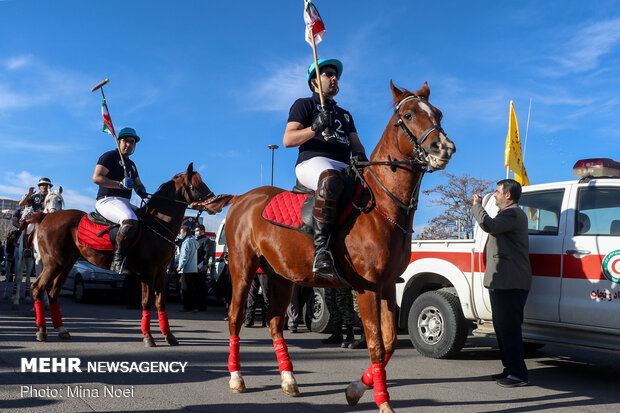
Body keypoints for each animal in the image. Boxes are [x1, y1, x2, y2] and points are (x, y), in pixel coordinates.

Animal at [27, 164, 220, 344]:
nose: (217, 204)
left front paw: (169, 335)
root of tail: (46, 217)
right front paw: (148, 336)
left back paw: (61, 329)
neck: (157, 224)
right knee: (37, 288)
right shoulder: (148, 271)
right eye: (197, 185)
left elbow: (160, 302)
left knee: (53, 292)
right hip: (53, 262)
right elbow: (146, 301)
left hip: (67, 263)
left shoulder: (161, 271)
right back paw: (42, 331)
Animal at [218, 81, 456, 412]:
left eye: (438, 113)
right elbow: (375, 344)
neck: (382, 207)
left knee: (276, 322)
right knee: (235, 317)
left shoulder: (387, 285)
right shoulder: (367, 287)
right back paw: (236, 377)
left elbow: (390, 341)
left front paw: (355, 390)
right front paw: (382, 402)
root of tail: (242, 198)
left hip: (281, 276)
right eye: (408, 114)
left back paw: (289, 380)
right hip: (243, 269)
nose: (444, 147)